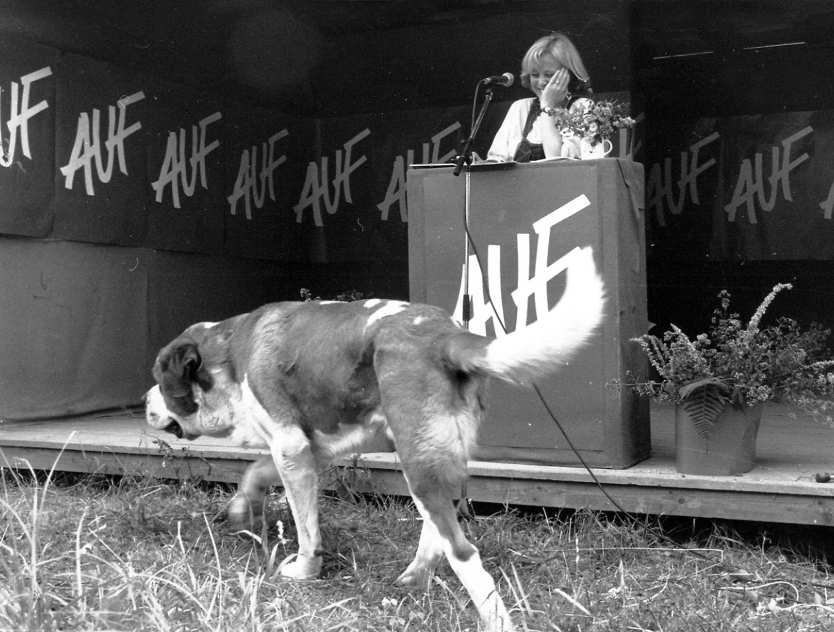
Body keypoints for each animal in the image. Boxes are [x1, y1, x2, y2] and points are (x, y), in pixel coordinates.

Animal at [146, 244, 604, 628]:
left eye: (159, 381)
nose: (145, 398)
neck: (229, 356)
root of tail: (442, 334)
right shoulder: (311, 447)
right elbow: (254, 473)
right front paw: (243, 510)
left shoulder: (291, 446)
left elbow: (306, 527)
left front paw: (304, 570)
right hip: (431, 456)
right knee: (438, 527)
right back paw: (413, 579)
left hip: (417, 461)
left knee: (463, 552)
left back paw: (494, 620)